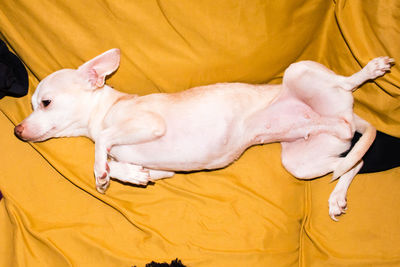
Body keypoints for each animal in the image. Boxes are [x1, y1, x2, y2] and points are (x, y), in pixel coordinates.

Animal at [14, 49, 392, 221]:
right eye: (32, 104)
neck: (106, 107)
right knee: (353, 162)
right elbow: (125, 163)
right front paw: (132, 175)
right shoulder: (162, 169)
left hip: (300, 73)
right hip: (302, 161)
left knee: (346, 85)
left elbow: (104, 141)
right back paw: (337, 195)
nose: (17, 131)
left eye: (45, 102)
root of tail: (348, 115)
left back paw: (368, 71)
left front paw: (100, 173)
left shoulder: (148, 124)